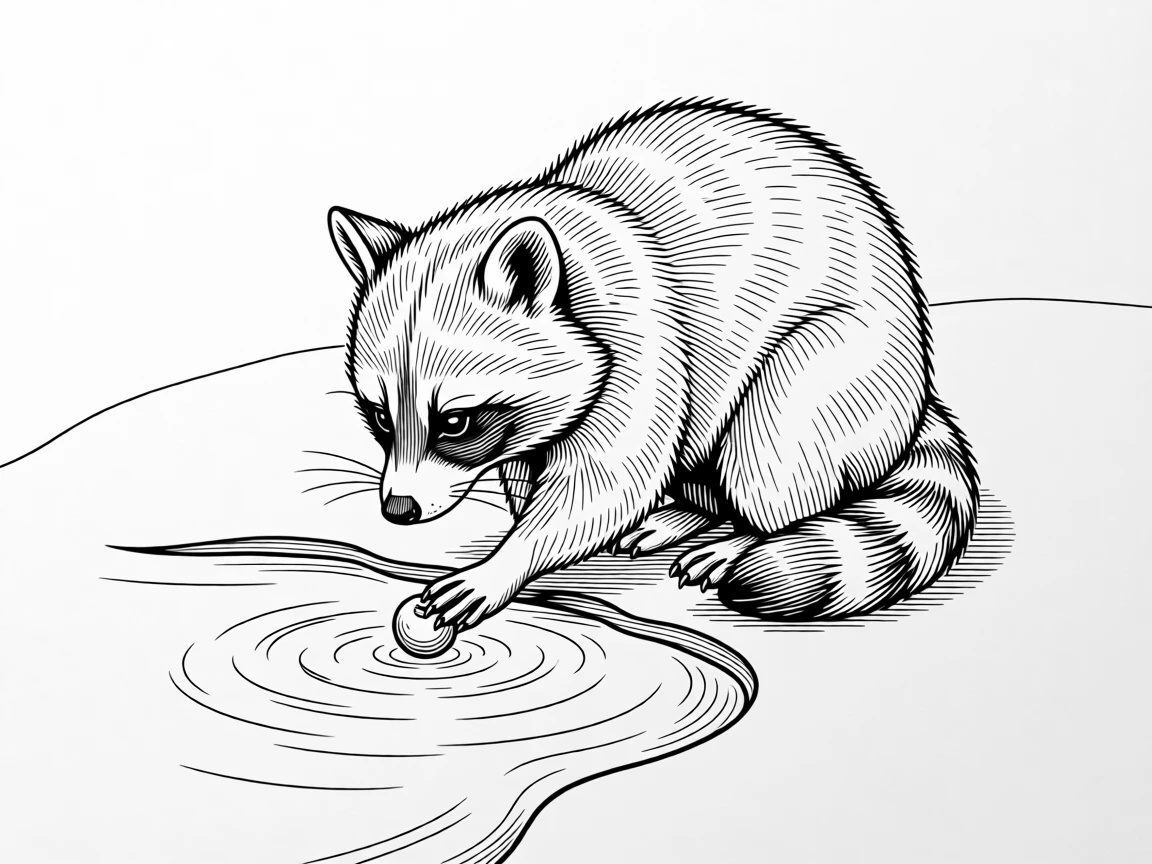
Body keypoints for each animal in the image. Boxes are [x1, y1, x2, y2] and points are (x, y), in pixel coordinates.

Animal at [329, 99, 978, 630]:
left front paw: (508, 560)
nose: (399, 510)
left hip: (835, 372)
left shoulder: (643, 340)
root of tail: (919, 391)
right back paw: (690, 510)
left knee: (765, 459)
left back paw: (736, 529)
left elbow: (606, 484)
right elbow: (530, 465)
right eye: (380, 418)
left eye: (455, 422)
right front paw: (518, 508)